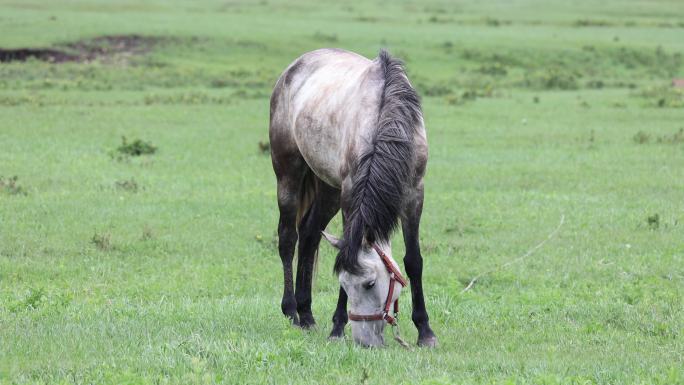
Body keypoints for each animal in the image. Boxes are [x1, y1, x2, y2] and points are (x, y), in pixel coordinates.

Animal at [268, 48, 436, 348]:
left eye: (370, 284)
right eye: (344, 283)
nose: (364, 342)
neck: (386, 122)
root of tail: (292, 68)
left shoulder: (414, 193)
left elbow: (413, 260)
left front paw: (425, 331)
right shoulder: (350, 195)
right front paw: (337, 327)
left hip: (328, 188)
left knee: (309, 235)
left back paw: (307, 314)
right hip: (288, 173)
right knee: (288, 238)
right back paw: (292, 313)